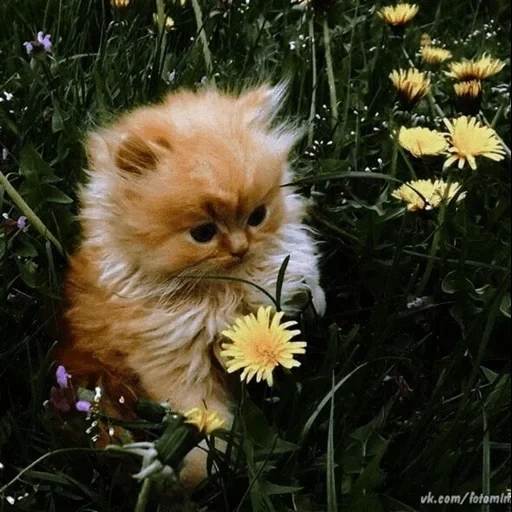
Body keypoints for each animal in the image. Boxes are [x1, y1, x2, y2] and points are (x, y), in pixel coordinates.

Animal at [58, 84, 326, 488]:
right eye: (203, 233)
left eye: (257, 216)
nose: (240, 248)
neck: (224, 290)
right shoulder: (172, 359)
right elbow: (203, 416)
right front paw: (206, 470)